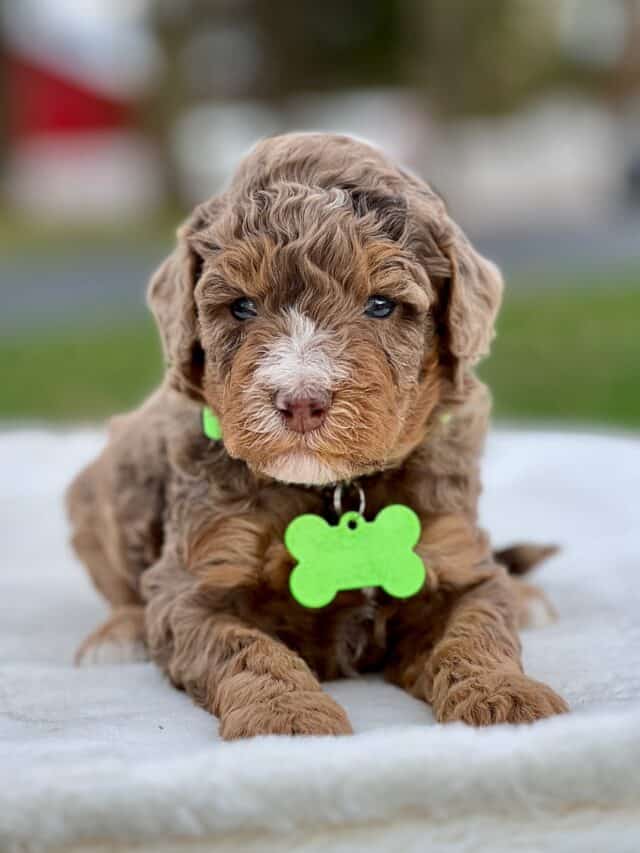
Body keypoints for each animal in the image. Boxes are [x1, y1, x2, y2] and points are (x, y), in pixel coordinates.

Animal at [67, 133, 568, 740]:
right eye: (242, 306)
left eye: (380, 304)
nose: (301, 401)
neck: (333, 490)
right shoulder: (197, 583)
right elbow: (246, 647)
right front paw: (285, 717)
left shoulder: (453, 558)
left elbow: (477, 627)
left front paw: (505, 697)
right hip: (110, 486)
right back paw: (117, 636)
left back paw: (527, 597)